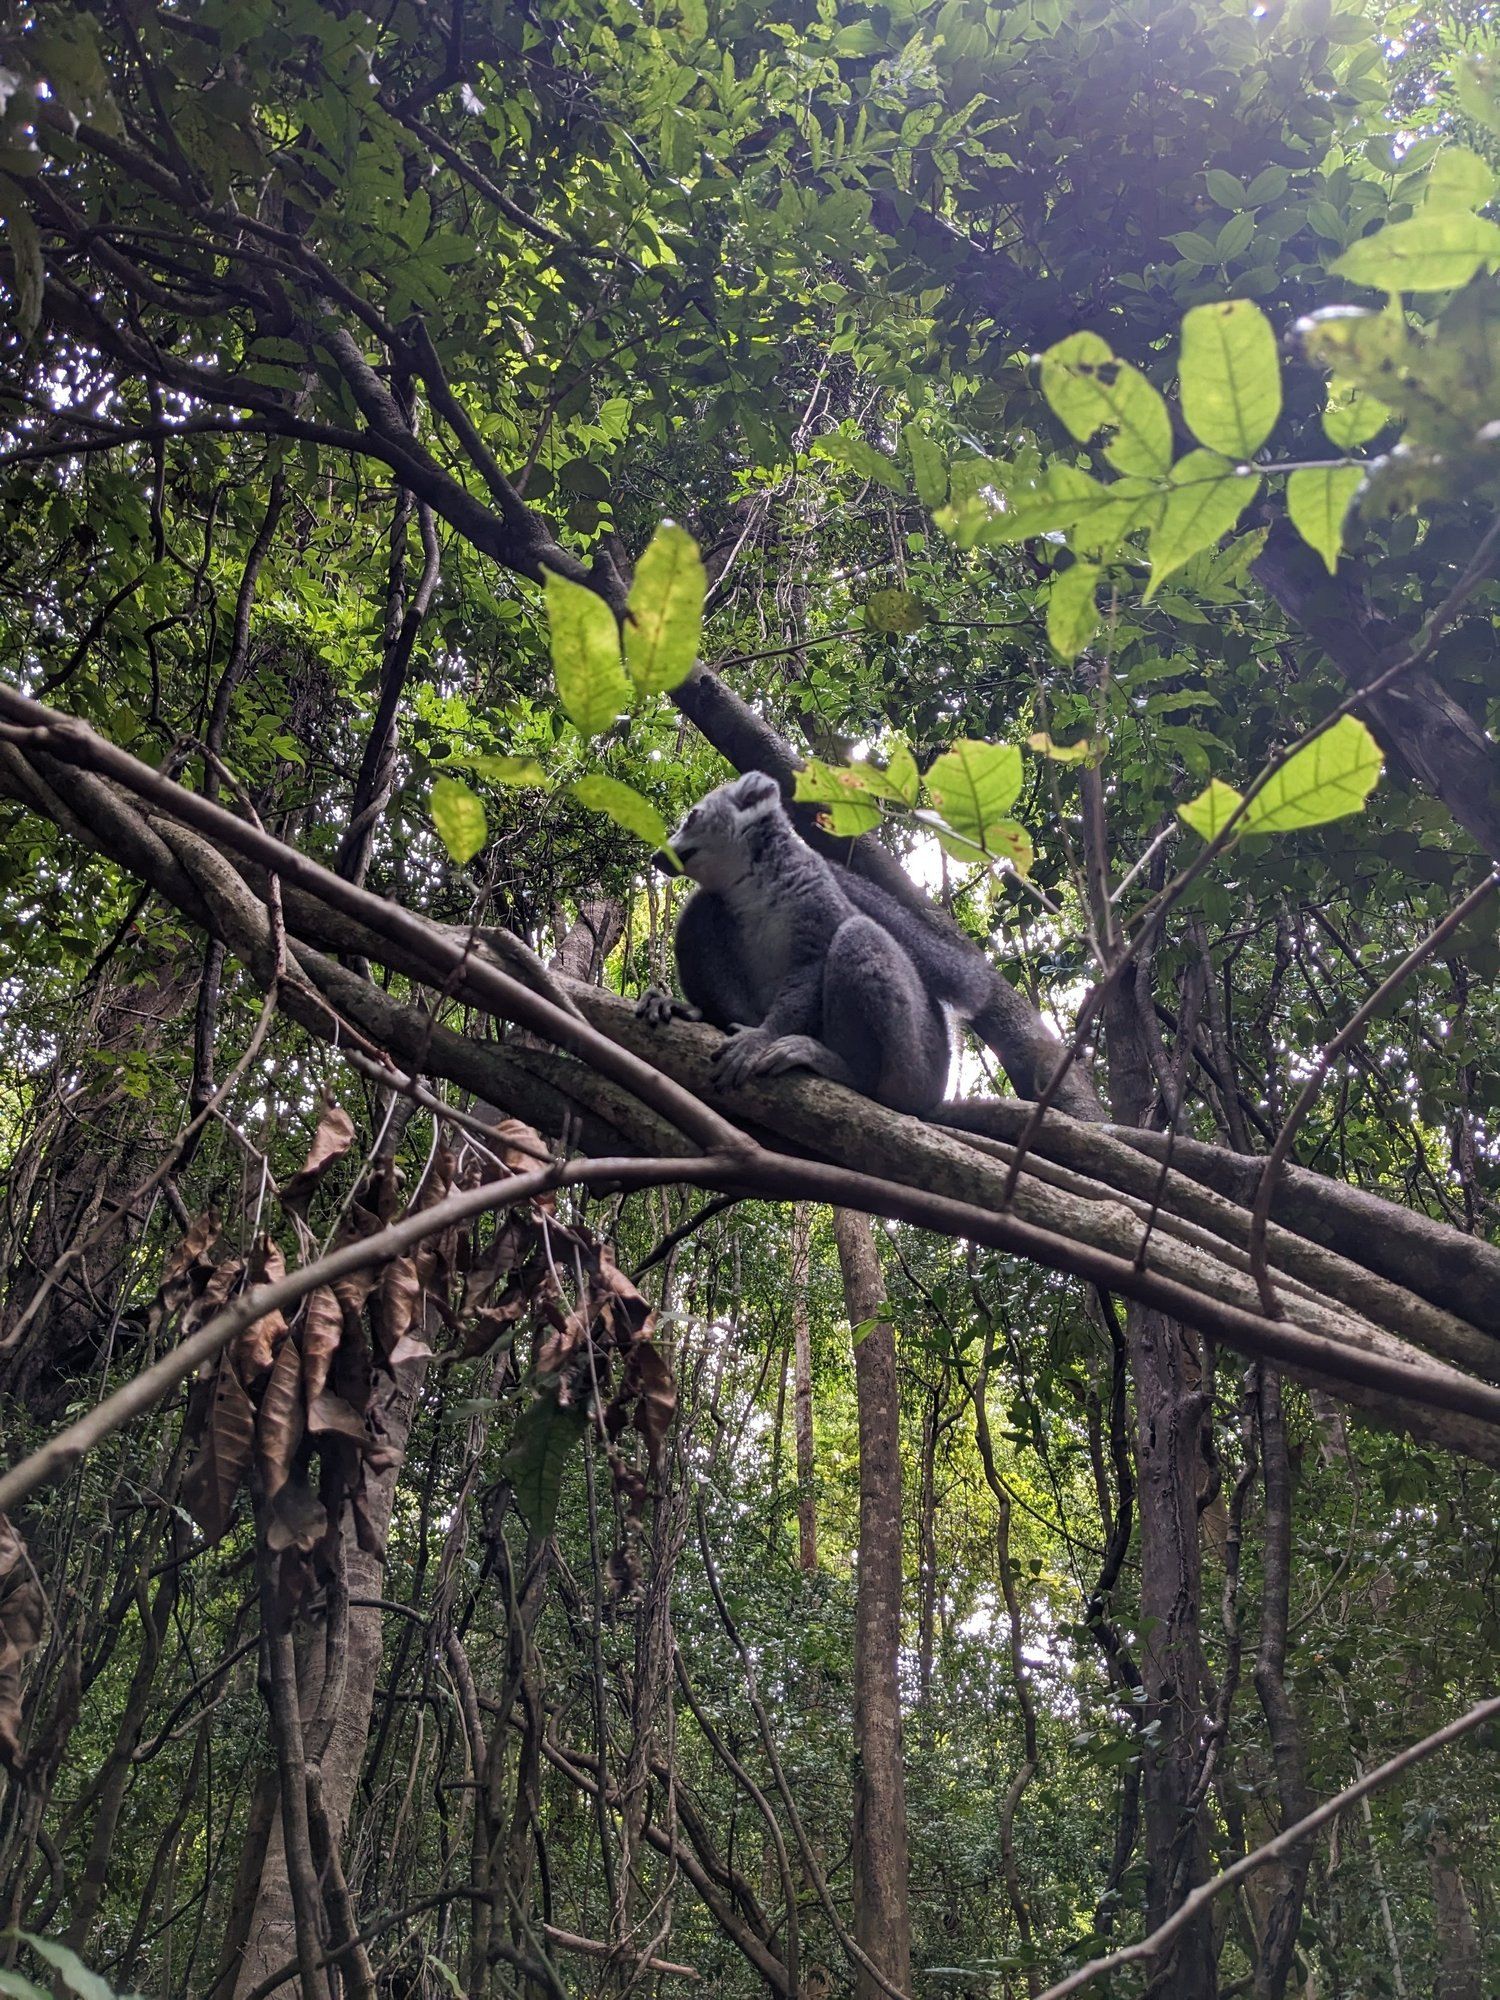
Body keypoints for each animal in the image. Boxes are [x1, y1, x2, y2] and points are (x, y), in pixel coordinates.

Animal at [637, 770, 992, 1116]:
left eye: (692, 818)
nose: (657, 856)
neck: (749, 885)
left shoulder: (814, 890)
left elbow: (813, 963)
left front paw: (760, 1038)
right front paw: (690, 1009)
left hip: (917, 1064)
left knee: (858, 933)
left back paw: (844, 1068)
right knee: (701, 907)